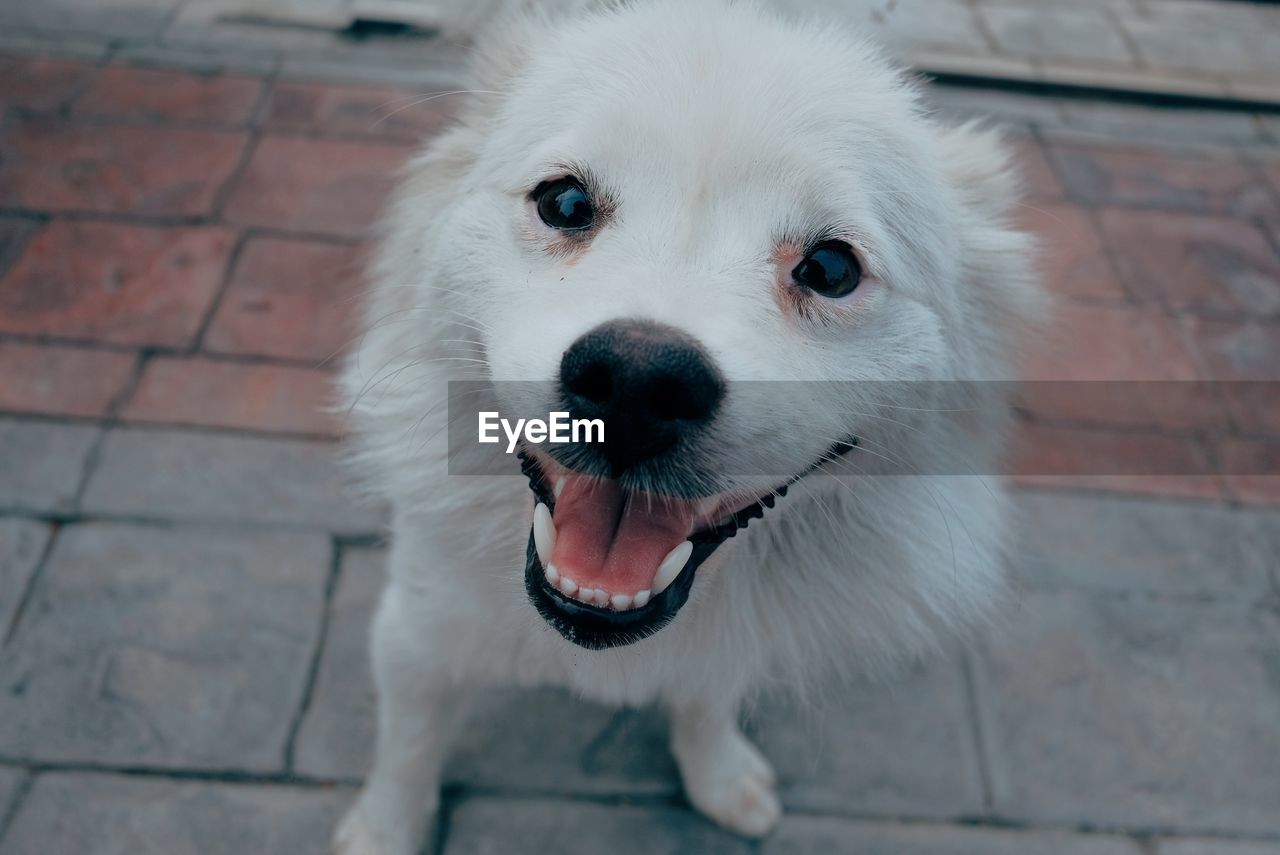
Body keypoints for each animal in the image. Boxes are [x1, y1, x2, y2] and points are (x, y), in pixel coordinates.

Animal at [337, 3, 1039, 849]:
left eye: (831, 269)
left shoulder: (725, 640)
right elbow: (407, 748)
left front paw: (721, 776)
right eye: (565, 204)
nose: (637, 384)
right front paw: (383, 831)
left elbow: (706, 697)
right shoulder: (415, 628)